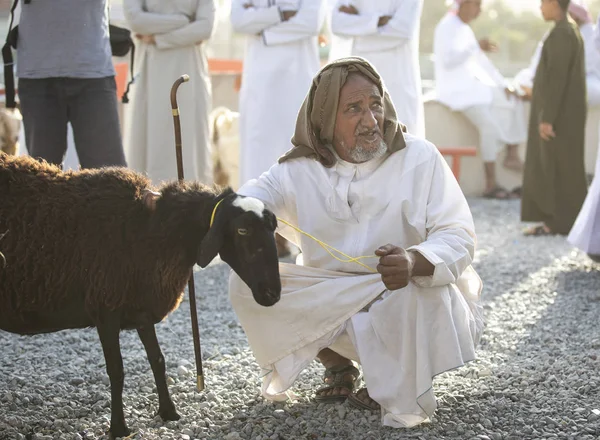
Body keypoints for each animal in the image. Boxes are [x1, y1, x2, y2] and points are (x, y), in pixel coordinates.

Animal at [0, 153, 282, 438]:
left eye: (273, 228)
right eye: (242, 230)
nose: (272, 293)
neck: (148, 231)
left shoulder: (141, 307)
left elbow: (158, 360)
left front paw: (169, 412)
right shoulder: (106, 309)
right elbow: (117, 370)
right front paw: (118, 427)